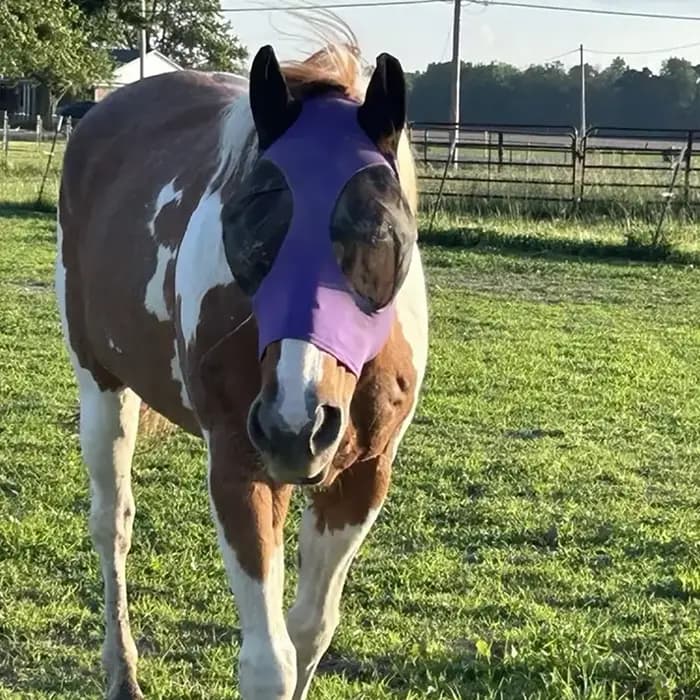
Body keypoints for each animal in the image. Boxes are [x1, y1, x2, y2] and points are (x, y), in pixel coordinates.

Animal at [56, 39, 428, 700]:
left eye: (380, 231)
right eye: (249, 228)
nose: (293, 426)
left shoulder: (363, 476)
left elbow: (310, 632)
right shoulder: (239, 466)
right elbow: (269, 662)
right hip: (102, 387)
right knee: (112, 524)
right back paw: (122, 672)